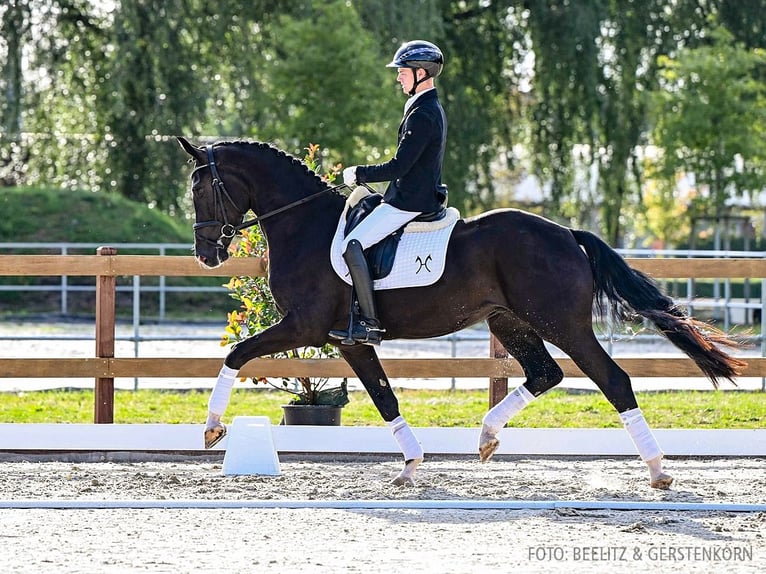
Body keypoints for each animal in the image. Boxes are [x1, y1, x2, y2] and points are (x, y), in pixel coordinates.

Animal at [178, 136, 744, 490]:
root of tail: (566, 233)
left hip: (562, 324)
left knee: (613, 380)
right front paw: (411, 465)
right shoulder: (349, 339)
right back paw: (487, 437)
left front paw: (212, 429)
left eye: (201, 187)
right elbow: (384, 398)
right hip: (508, 320)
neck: (307, 226)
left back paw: (657, 470)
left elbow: (237, 353)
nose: (205, 255)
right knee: (546, 374)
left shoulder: (307, 326)